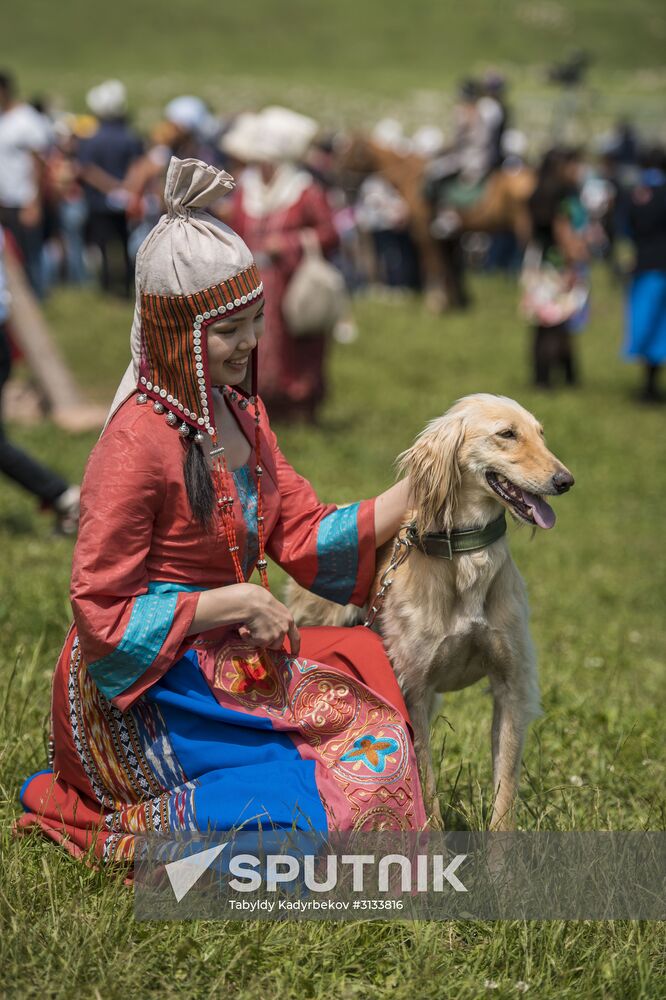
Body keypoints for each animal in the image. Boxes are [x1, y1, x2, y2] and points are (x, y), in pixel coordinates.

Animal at [288, 394, 572, 832]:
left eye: (541, 434)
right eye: (507, 434)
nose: (565, 481)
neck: (467, 555)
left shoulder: (512, 687)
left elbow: (504, 795)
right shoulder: (412, 691)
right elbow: (427, 788)